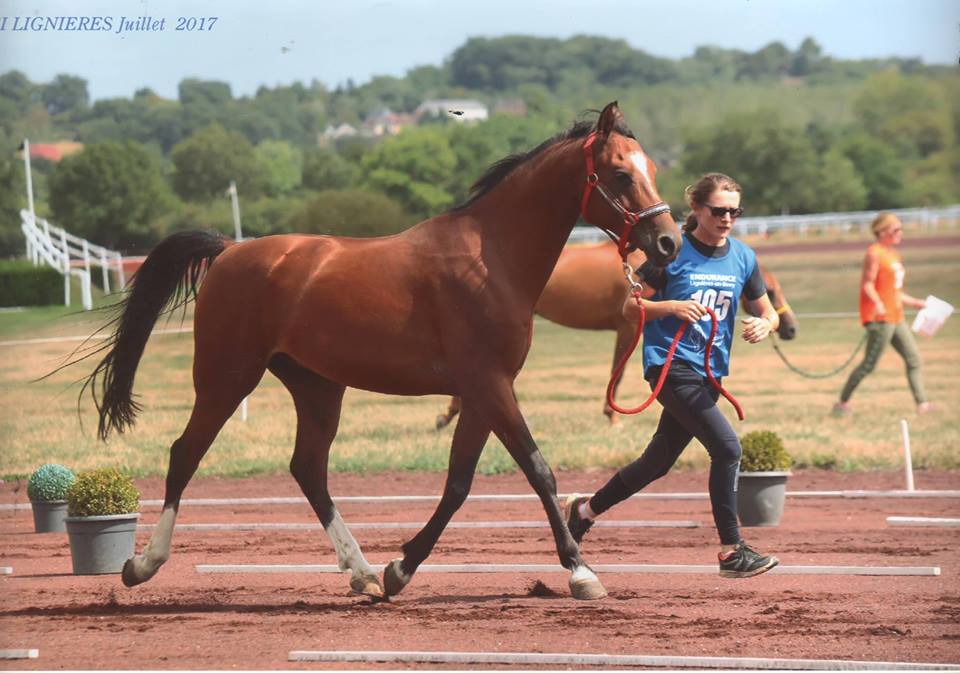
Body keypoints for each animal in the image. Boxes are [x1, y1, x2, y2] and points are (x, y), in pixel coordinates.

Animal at [84, 103, 684, 600]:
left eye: (651, 167)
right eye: (621, 173)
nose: (668, 242)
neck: (491, 257)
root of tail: (230, 251)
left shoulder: (481, 393)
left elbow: (459, 484)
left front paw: (401, 568)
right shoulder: (490, 386)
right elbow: (538, 471)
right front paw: (581, 571)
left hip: (317, 387)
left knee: (308, 469)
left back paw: (363, 572)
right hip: (226, 378)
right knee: (185, 454)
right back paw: (143, 564)